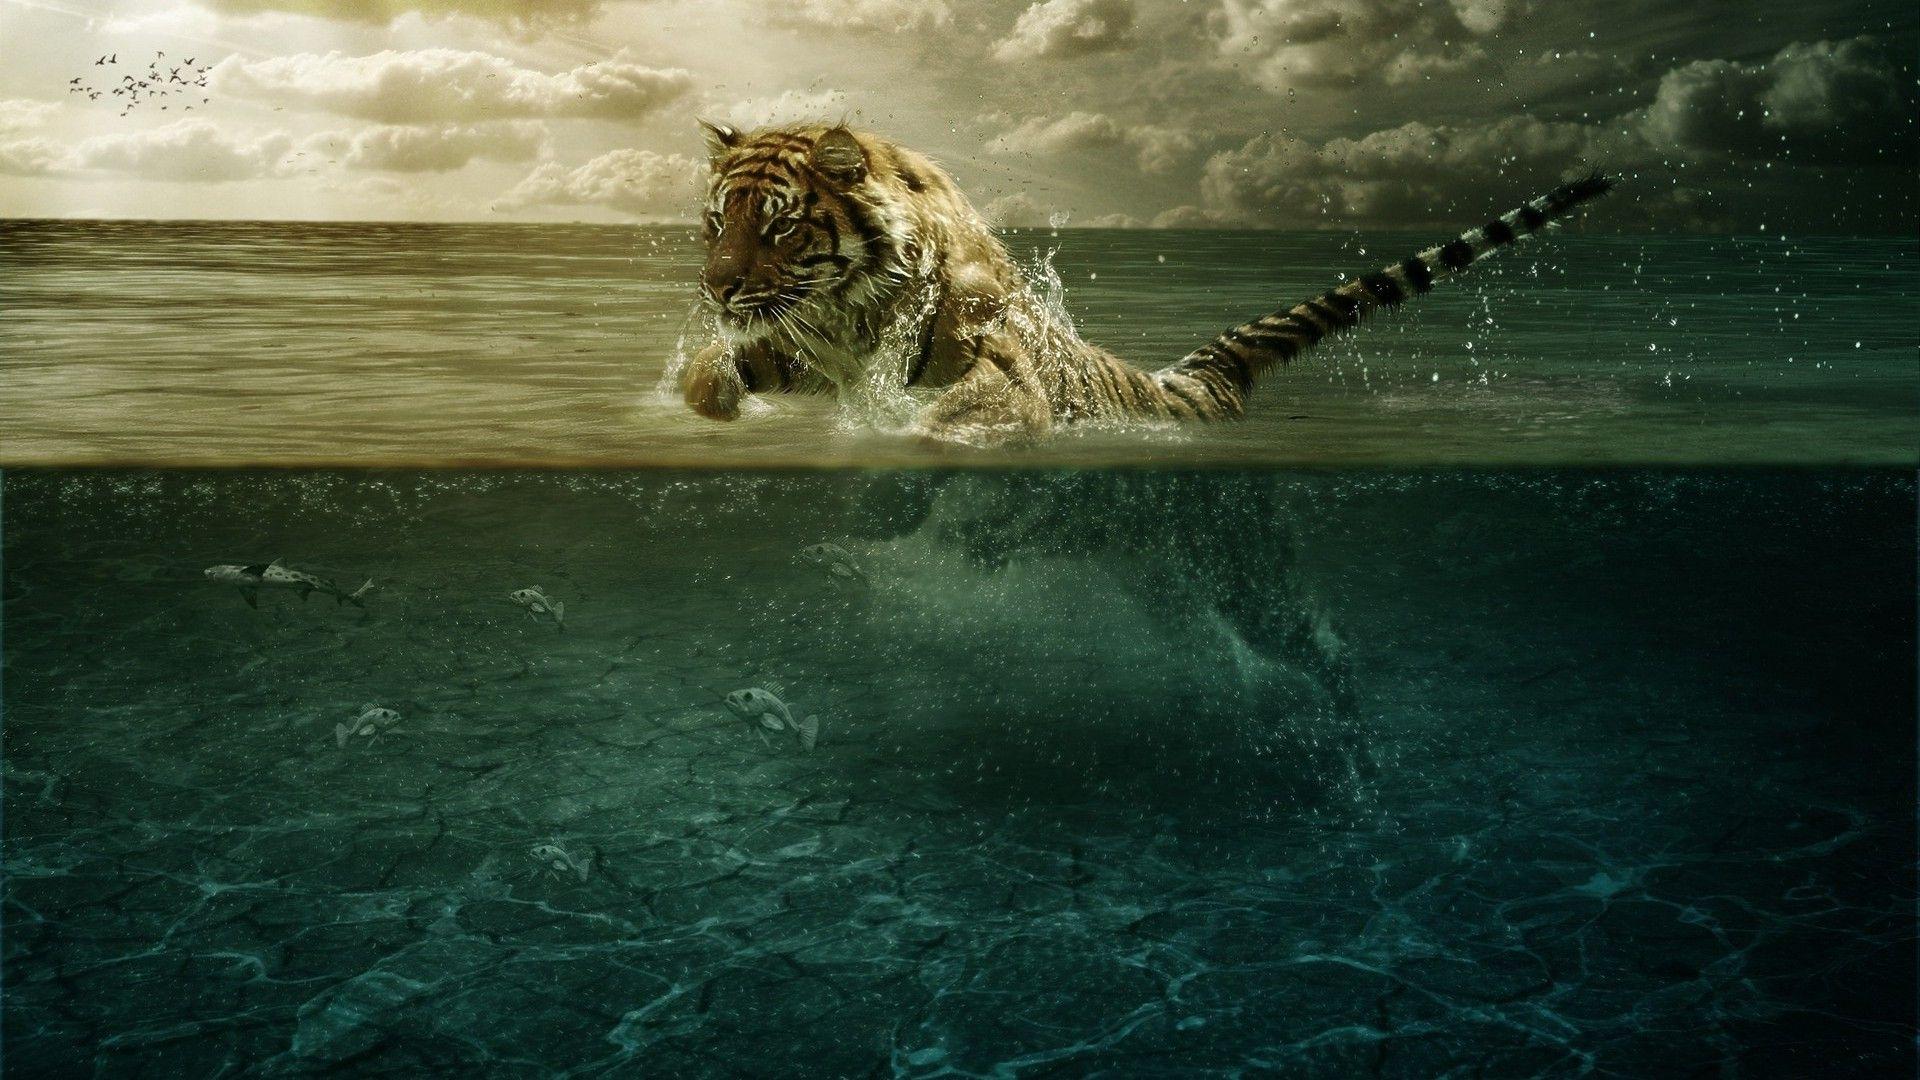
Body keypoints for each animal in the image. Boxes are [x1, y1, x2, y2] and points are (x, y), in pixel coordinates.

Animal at [682, 120, 1612, 444]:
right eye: (717, 222)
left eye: (780, 225)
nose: (717, 290)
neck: (849, 316)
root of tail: (1191, 382)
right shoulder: (804, 348)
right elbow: (713, 374)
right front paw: (711, 402)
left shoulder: (998, 369)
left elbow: (956, 415)